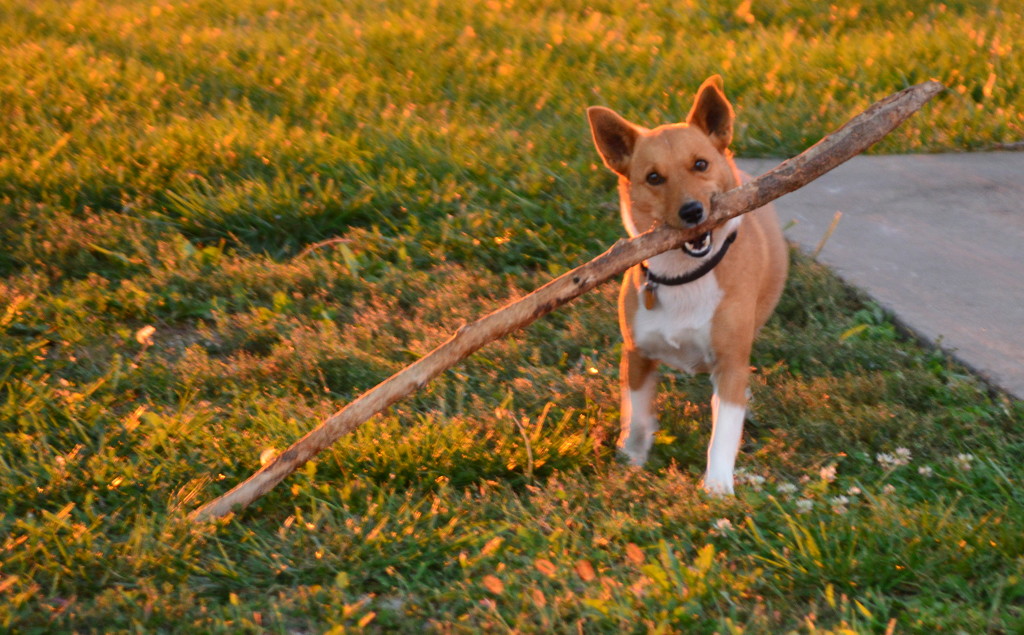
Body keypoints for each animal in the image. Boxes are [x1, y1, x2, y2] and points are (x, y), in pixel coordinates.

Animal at [589, 73, 786, 491]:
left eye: (700, 164)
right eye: (653, 178)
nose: (692, 211)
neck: (683, 277)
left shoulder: (730, 364)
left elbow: (724, 430)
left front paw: (717, 487)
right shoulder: (637, 353)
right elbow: (636, 415)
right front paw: (631, 460)